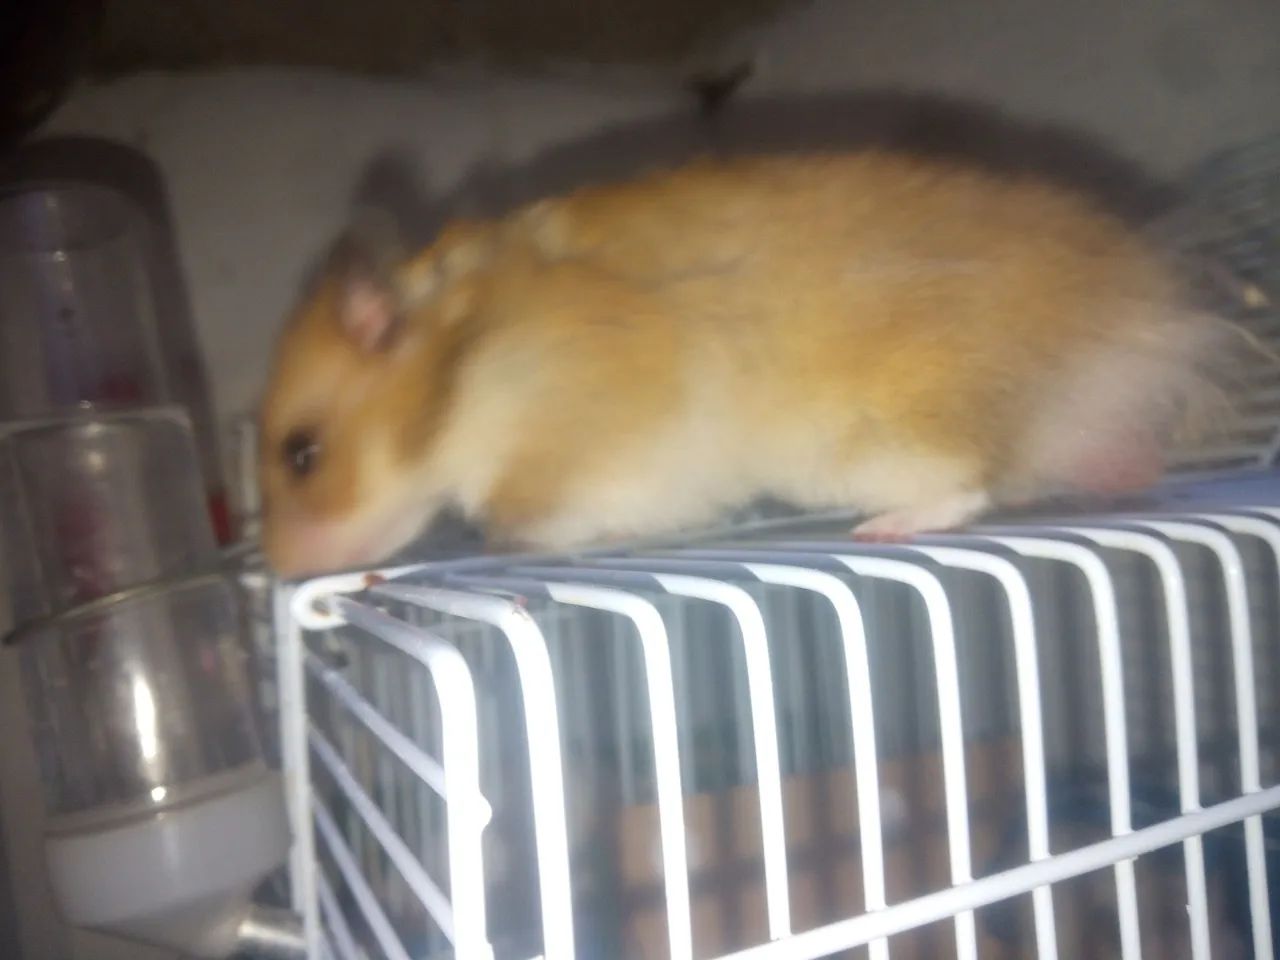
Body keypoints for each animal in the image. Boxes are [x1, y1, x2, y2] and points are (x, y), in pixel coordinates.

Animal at [258, 151, 1252, 578]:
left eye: (303, 455)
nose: (281, 574)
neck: (461, 380)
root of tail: (1145, 314)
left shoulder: (576, 451)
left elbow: (536, 517)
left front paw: (512, 539)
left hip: (878, 438)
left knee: (971, 485)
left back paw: (883, 529)